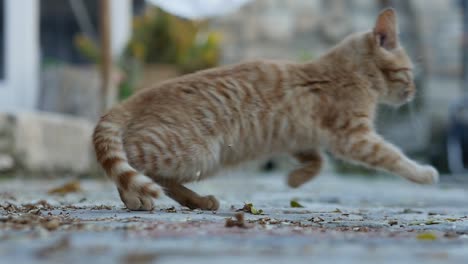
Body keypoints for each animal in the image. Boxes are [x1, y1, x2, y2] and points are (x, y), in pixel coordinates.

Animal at [92, 8, 438, 210]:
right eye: (409, 73)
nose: (413, 92)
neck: (349, 72)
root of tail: (131, 99)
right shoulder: (353, 136)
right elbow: (392, 156)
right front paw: (423, 173)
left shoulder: (299, 137)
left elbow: (318, 161)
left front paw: (295, 180)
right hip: (195, 153)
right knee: (130, 164)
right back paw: (135, 197)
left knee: (157, 177)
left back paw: (198, 201)